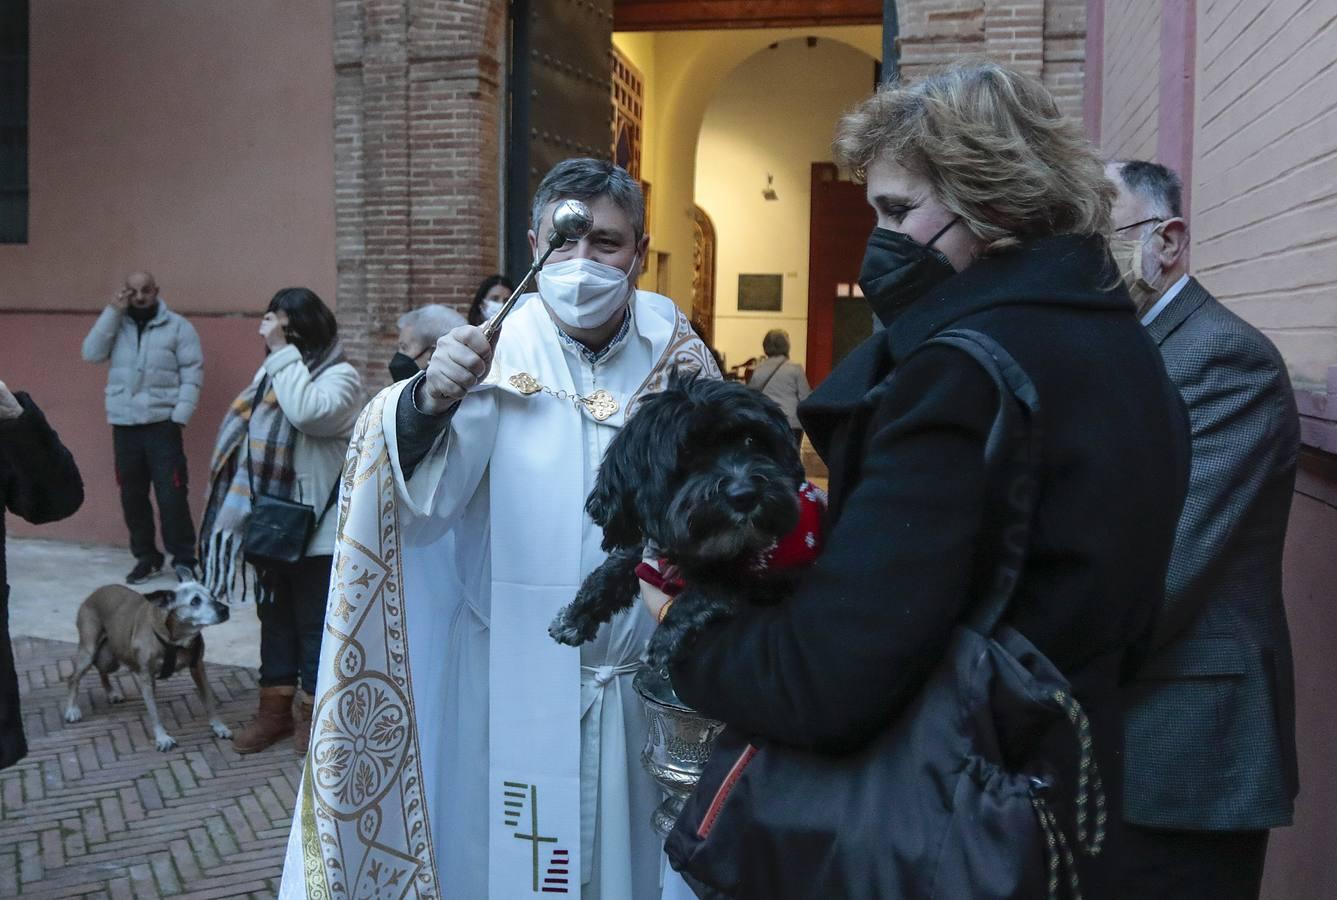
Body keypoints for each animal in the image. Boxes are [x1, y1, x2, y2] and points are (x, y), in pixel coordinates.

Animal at [62, 580, 231, 748]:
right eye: (195, 601)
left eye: (213, 594)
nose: (225, 609)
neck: (175, 639)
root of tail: (96, 592)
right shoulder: (146, 678)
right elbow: (154, 712)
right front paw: (162, 737)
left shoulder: (198, 668)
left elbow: (209, 700)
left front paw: (219, 726)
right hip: (89, 651)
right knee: (73, 678)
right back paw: (72, 709)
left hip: (110, 660)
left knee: (101, 670)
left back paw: (111, 693)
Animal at [545, 369, 796, 671]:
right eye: (686, 455)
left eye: (750, 440)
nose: (744, 495)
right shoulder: (652, 543)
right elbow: (613, 569)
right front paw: (576, 616)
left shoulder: (761, 577)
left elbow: (708, 590)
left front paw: (666, 638)